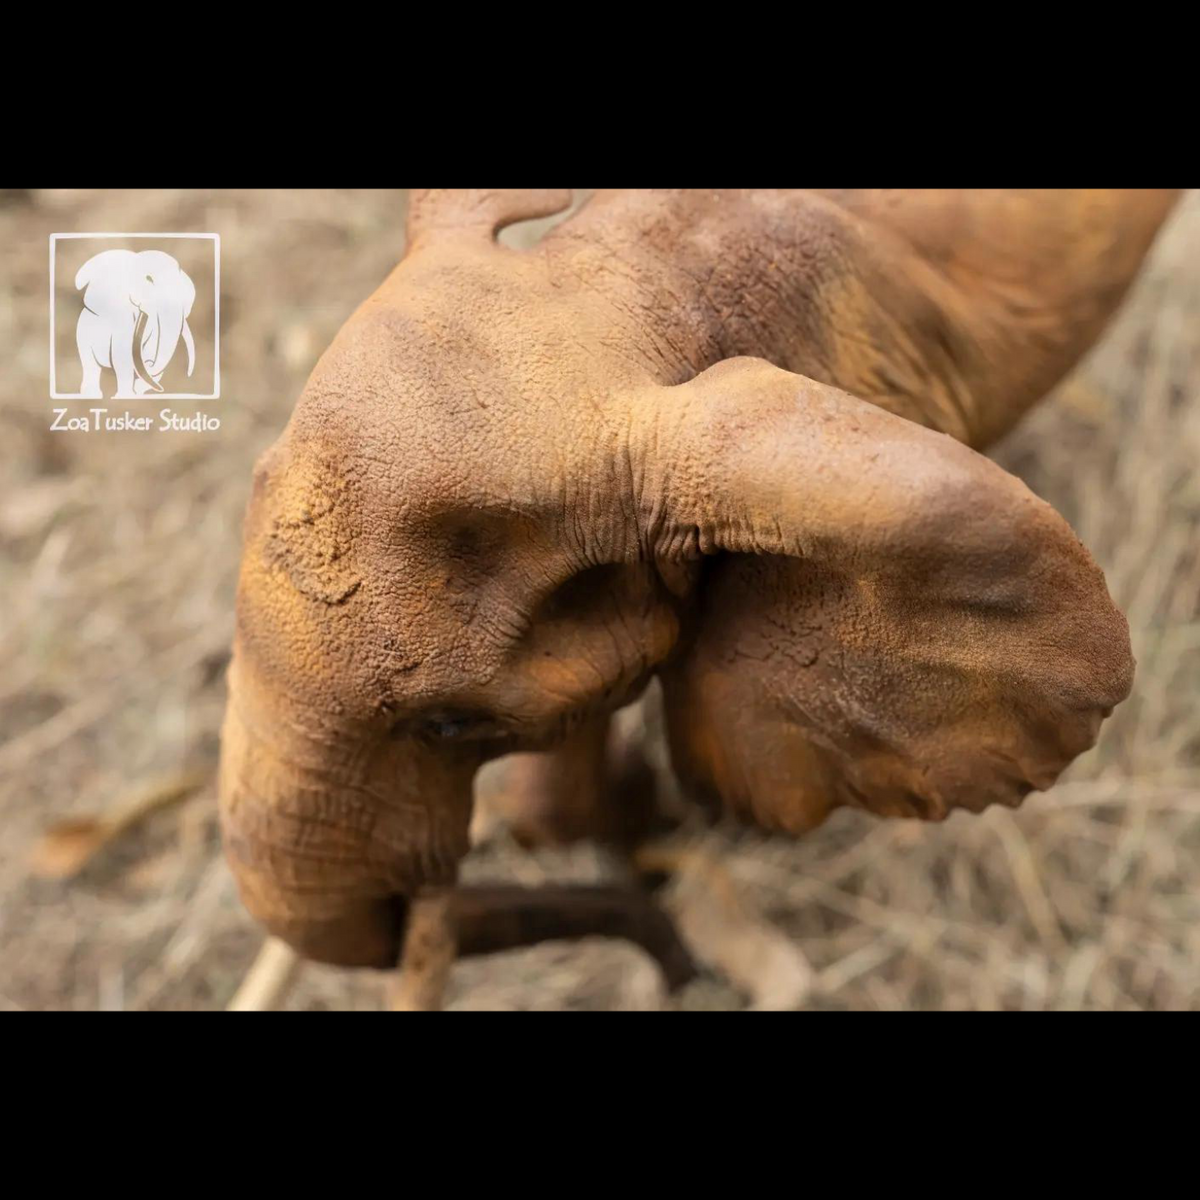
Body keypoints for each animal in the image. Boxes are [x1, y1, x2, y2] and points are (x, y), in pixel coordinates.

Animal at [75, 249, 196, 399]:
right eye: (148, 279)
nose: (148, 363)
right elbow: (122, 354)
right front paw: (124, 396)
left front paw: (136, 391)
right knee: (90, 364)